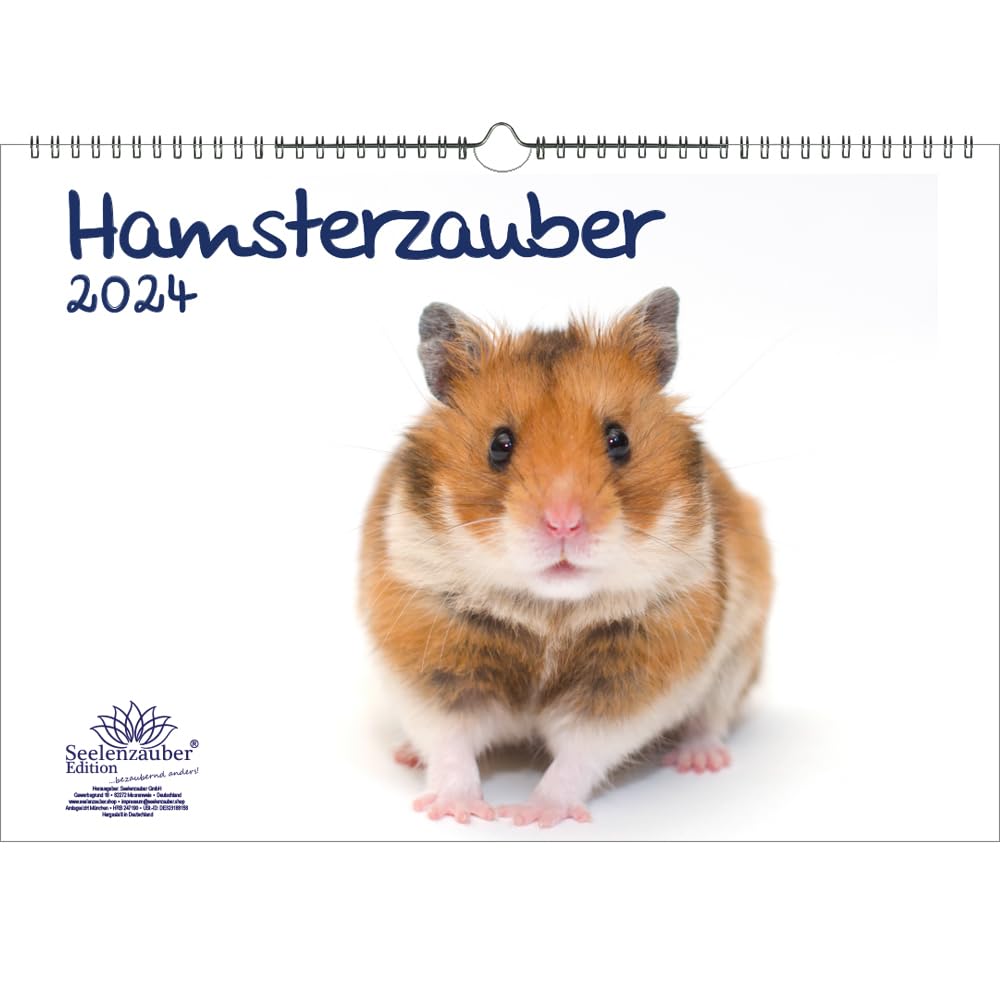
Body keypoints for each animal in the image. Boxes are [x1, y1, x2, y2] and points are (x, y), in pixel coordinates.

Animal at [359, 288, 773, 827]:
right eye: (499, 444)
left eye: (619, 440)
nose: (563, 524)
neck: (549, 610)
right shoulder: (429, 660)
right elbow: (450, 744)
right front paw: (456, 812)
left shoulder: (632, 680)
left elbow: (578, 755)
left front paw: (531, 815)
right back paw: (407, 754)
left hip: (741, 655)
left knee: (711, 717)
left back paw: (700, 760)